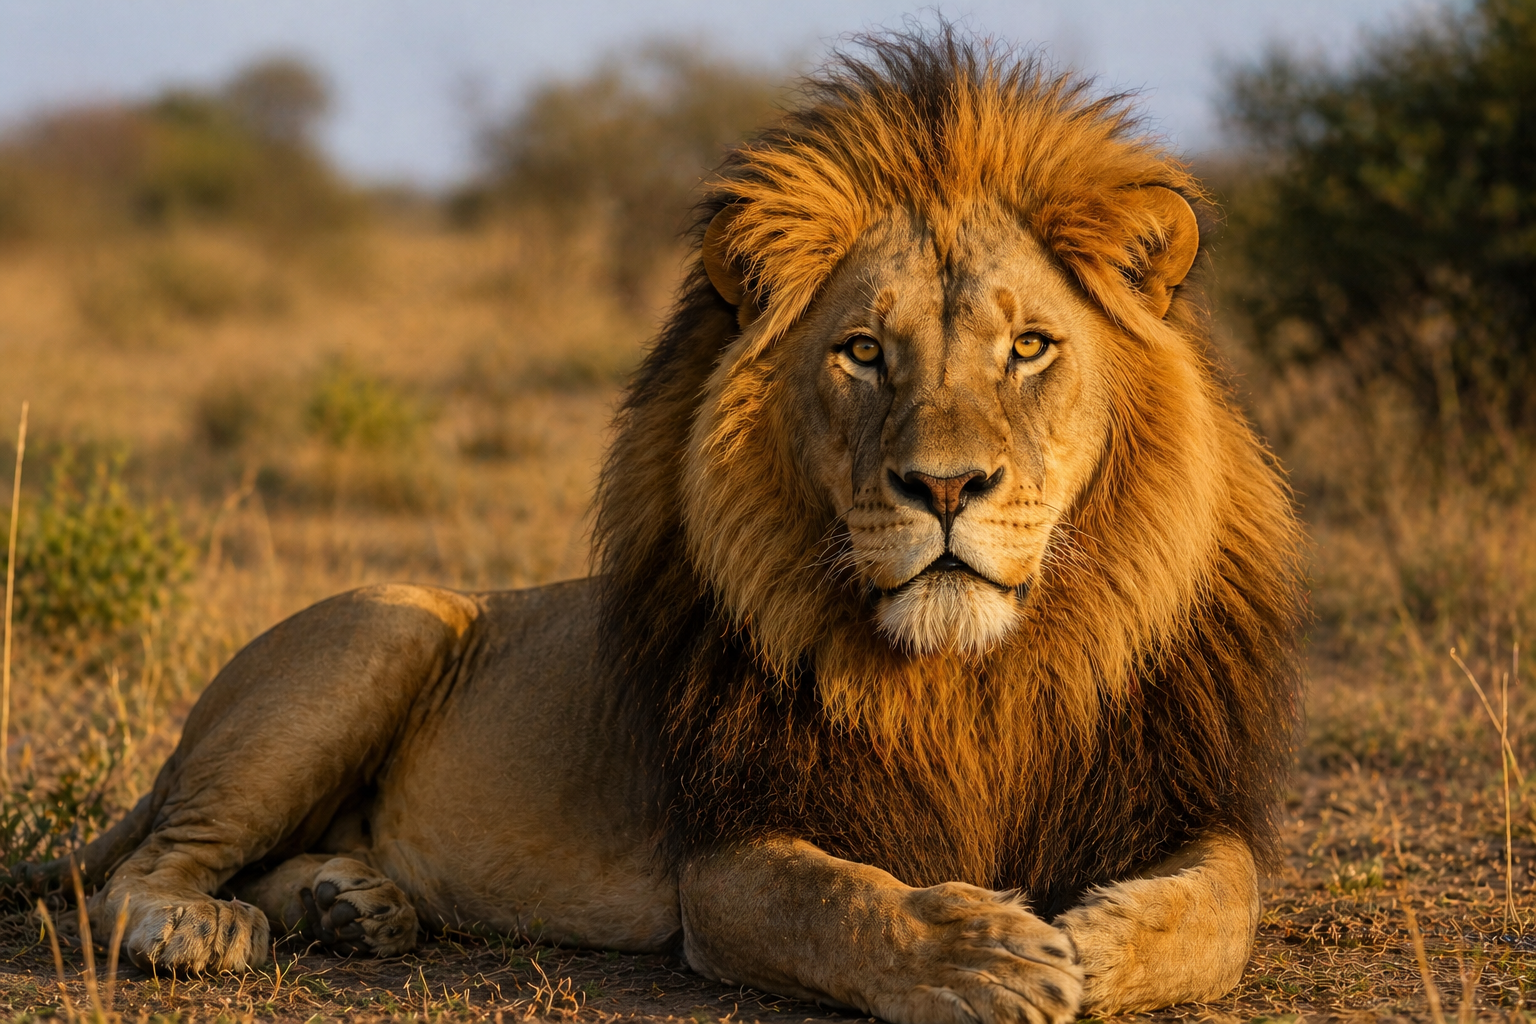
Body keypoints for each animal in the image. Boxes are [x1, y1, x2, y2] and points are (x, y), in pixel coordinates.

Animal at [36, 30, 1301, 1022]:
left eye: (1030, 346)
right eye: (862, 351)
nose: (944, 488)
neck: (971, 678)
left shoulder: (1174, 790)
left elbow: (1226, 901)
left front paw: (1092, 941)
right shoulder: (729, 853)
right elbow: (846, 905)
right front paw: (985, 955)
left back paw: (352, 902)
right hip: (383, 627)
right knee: (137, 871)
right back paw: (198, 928)